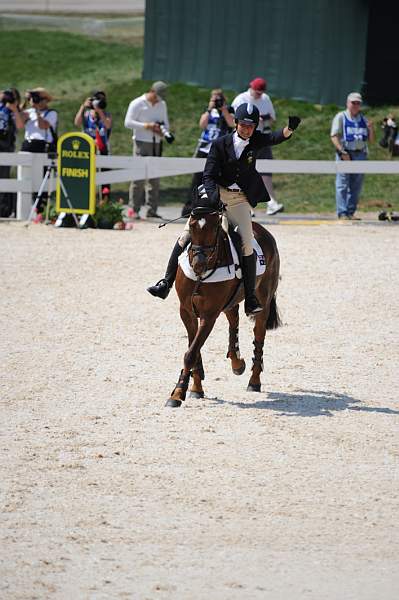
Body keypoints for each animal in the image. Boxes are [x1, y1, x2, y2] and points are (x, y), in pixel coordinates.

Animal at [167, 209, 282, 410]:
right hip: (231, 301)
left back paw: (254, 381)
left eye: (215, 228)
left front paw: (177, 394)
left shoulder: (209, 315)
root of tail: (264, 231)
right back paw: (237, 364)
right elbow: (194, 349)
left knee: (259, 336)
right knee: (233, 322)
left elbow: (191, 353)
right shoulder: (186, 312)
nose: (198, 264)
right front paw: (195, 388)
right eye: (191, 226)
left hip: (263, 303)